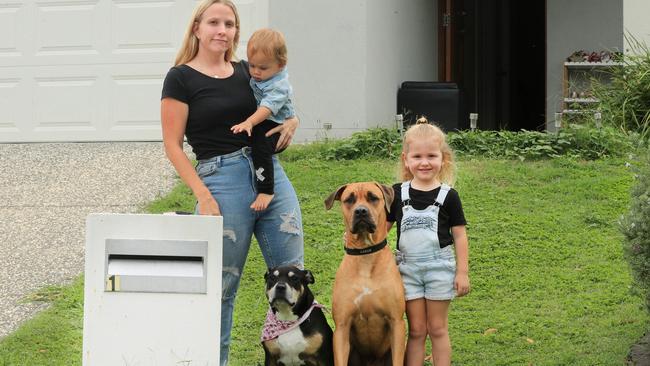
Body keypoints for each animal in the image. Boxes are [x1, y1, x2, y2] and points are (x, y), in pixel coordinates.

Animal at [322, 182, 402, 364]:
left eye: (373, 197)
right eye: (349, 200)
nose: (360, 211)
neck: (366, 254)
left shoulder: (396, 322)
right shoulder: (342, 327)